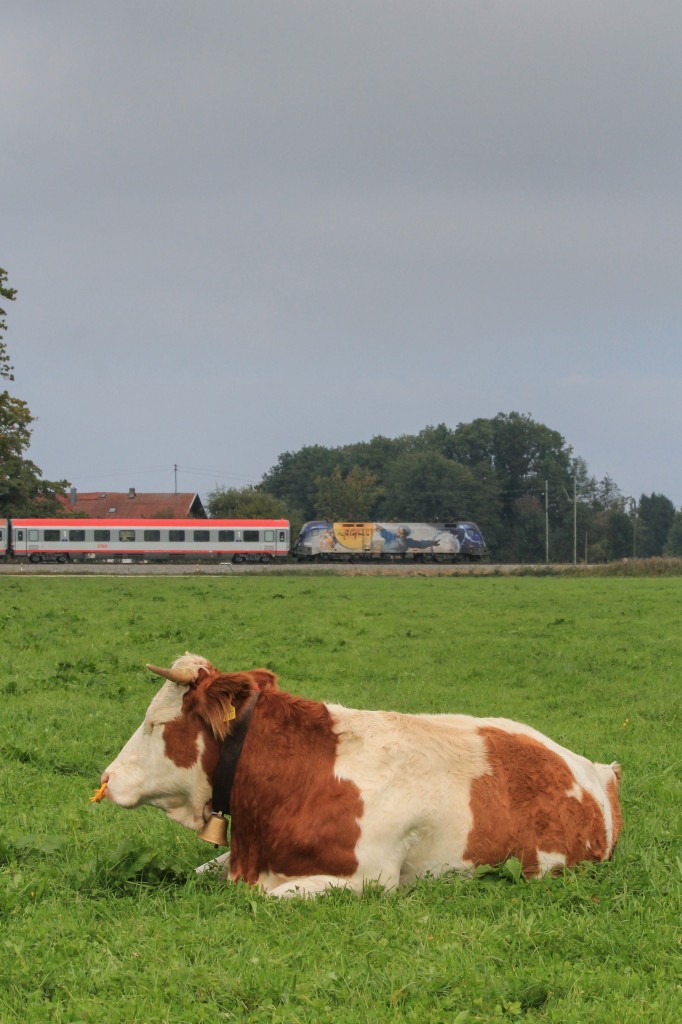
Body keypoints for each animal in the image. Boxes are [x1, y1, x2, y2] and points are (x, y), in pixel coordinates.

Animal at [100, 655, 622, 897]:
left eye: (156, 724)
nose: (106, 778)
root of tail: (595, 770)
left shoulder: (370, 878)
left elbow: (272, 899)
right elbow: (199, 871)